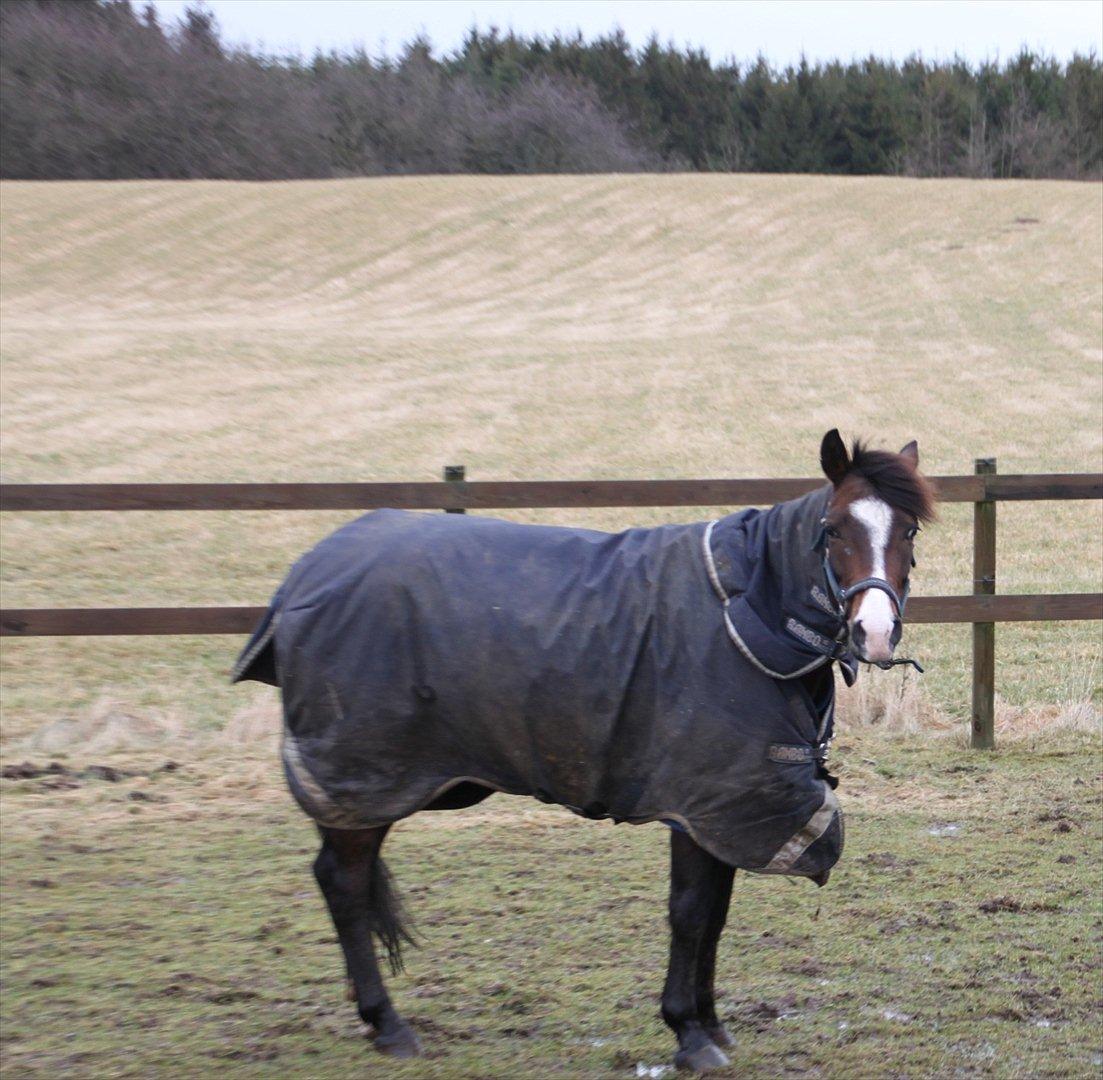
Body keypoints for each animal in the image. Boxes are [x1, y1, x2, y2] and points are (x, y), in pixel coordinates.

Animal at [232, 430, 930, 1072]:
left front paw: (711, 1022)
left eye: (909, 531)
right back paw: (387, 1023)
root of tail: (303, 576)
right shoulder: (699, 803)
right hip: (362, 779)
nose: (873, 632)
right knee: (344, 883)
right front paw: (689, 1032)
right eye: (834, 530)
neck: (744, 611)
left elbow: (716, 913)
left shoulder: (729, 812)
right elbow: (690, 912)